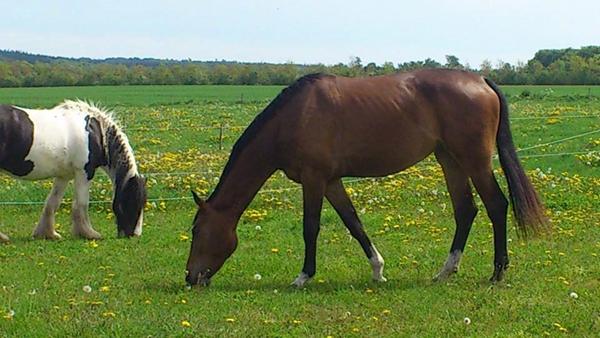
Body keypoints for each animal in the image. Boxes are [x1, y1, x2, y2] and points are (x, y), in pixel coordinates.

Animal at [0, 99, 146, 242]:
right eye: (134, 200)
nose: (135, 234)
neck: (96, 133)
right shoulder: (85, 172)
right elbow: (81, 203)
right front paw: (88, 233)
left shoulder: (63, 176)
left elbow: (52, 203)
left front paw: (48, 234)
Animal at [185, 69, 548, 288]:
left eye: (198, 230)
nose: (190, 277)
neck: (294, 117)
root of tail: (482, 80)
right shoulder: (331, 181)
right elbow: (353, 222)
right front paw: (378, 270)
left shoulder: (314, 179)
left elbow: (310, 228)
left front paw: (303, 277)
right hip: (450, 160)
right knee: (466, 210)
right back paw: (446, 271)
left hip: (473, 160)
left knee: (496, 205)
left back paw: (498, 271)